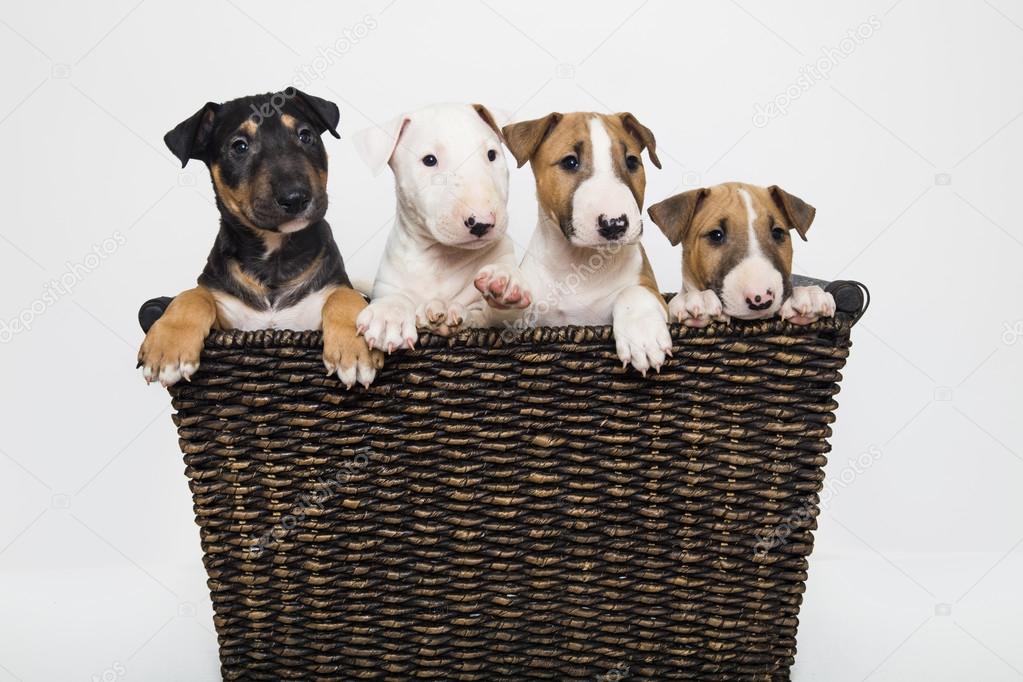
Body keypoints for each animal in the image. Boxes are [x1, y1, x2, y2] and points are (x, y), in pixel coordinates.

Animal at [136, 90, 384, 388]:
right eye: (240, 146)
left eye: (306, 135)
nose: (295, 198)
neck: (274, 258)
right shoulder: (226, 317)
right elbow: (192, 295)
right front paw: (168, 349)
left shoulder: (323, 298)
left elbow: (345, 295)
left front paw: (355, 351)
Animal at [356, 106, 531, 351]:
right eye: (429, 160)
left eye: (491, 155)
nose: (482, 222)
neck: (442, 257)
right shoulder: (386, 284)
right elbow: (396, 297)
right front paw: (388, 316)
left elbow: (498, 318)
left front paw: (504, 281)